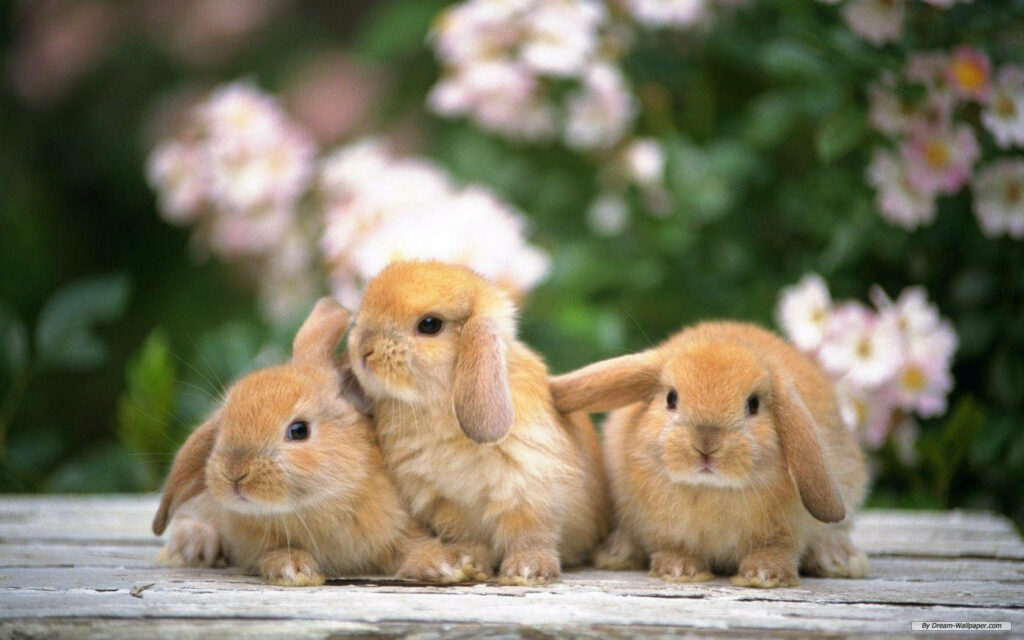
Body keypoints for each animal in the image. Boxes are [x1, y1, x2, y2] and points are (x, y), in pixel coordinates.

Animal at [152, 297, 472, 586]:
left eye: (298, 430)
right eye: (222, 427)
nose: (235, 472)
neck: (320, 506)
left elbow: (412, 548)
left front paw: (445, 565)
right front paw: (293, 569)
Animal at [342, 260, 610, 585]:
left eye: (430, 325)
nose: (363, 350)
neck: (440, 408)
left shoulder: (530, 491)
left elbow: (530, 535)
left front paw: (527, 570)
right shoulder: (446, 503)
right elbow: (469, 538)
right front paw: (467, 563)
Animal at [550, 321, 870, 588]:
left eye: (753, 404)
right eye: (671, 398)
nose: (706, 445)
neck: (710, 490)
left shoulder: (786, 531)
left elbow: (776, 550)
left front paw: (765, 576)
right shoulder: (663, 530)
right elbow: (672, 547)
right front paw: (679, 570)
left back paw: (840, 559)